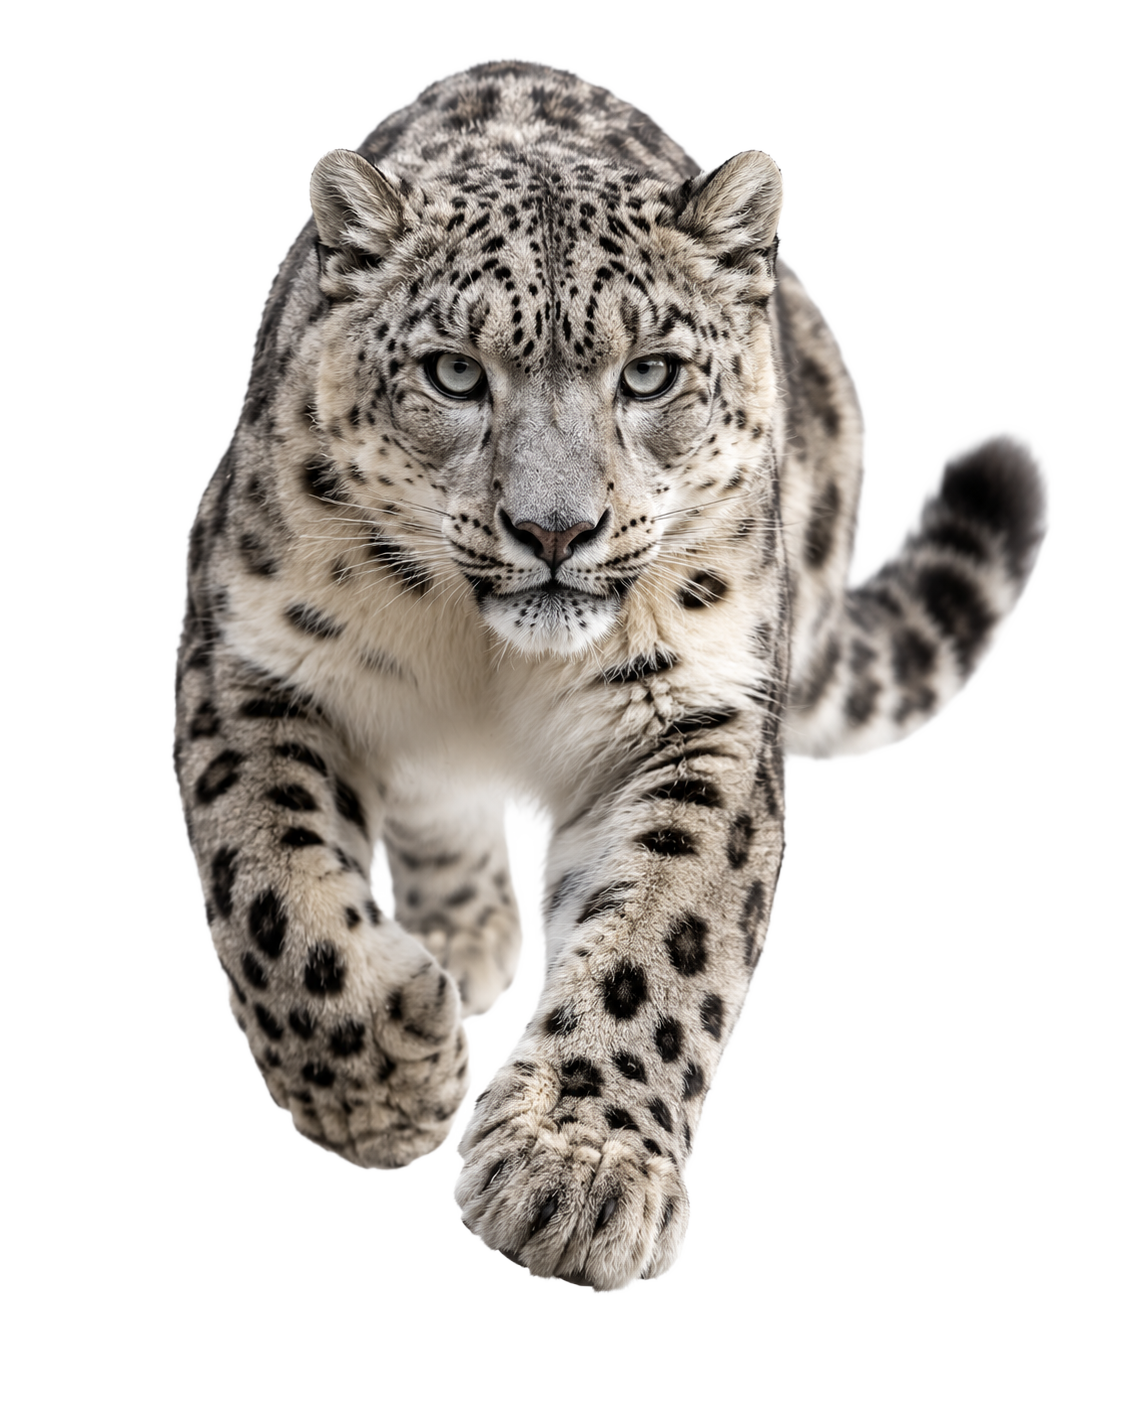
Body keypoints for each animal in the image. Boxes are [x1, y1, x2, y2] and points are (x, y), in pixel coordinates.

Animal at [174, 60, 1046, 1291]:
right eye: (454, 371)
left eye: (650, 374)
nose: (555, 529)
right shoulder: (247, 650)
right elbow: (270, 890)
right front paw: (381, 1087)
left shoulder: (702, 705)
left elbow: (662, 940)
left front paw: (576, 1175)